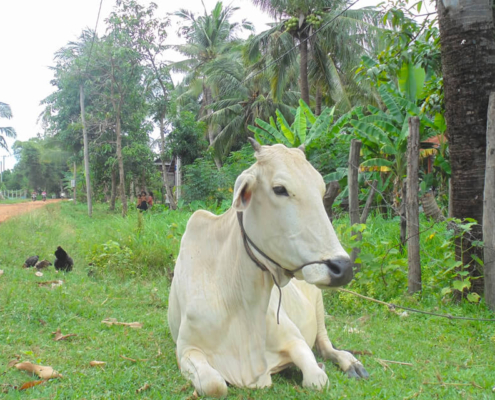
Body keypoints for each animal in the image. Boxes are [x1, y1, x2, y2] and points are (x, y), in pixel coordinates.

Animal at [170, 141, 368, 396]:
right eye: (280, 189)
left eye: (321, 189)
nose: (342, 268)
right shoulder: (187, 349)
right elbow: (215, 385)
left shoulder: (294, 338)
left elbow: (317, 378)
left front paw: (317, 368)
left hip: (318, 305)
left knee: (326, 346)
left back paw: (351, 363)